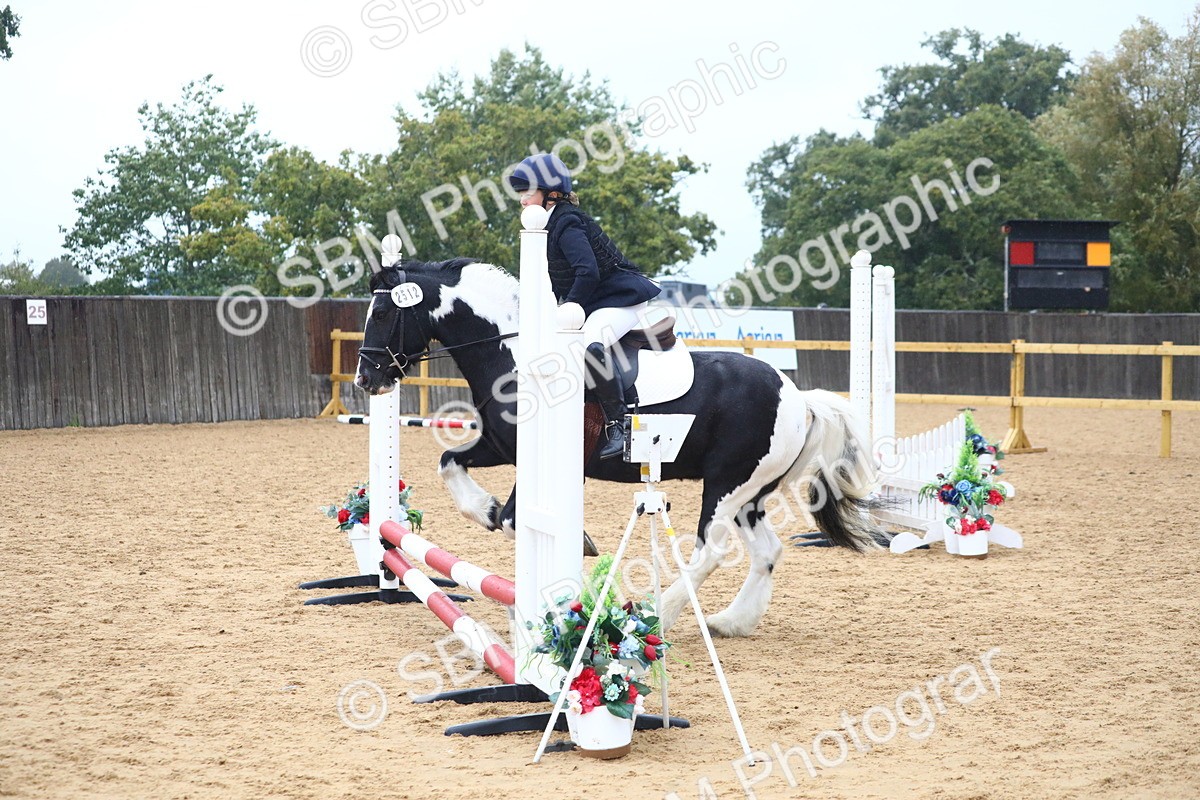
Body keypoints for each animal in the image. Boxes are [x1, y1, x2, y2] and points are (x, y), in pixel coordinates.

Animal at [355, 258, 886, 637]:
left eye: (381, 312)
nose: (366, 379)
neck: (515, 355)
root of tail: (798, 396)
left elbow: (512, 519)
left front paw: (576, 543)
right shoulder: (499, 446)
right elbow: (451, 466)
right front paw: (483, 509)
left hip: (726, 485)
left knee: (710, 551)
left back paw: (663, 613)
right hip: (749, 495)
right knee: (766, 551)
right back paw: (732, 622)